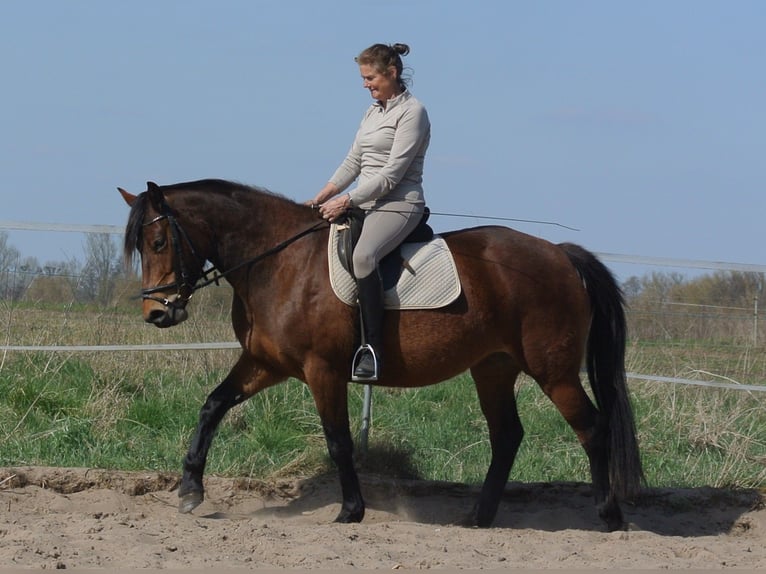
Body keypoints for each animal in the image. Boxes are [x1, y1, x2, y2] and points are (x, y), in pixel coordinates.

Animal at [119, 178, 643, 531]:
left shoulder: (322, 370)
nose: (156, 313)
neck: (278, 263)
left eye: (159, 241)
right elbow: (212, 406)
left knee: (593, 429)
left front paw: (351, 511)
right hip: (493, 367)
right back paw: (478, 517)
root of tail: (560, 254)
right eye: (143, 246)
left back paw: (609, 517)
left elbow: (338, 441)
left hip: (553, 372)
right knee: (508, 436)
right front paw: (190, 491)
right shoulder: (266, 364)